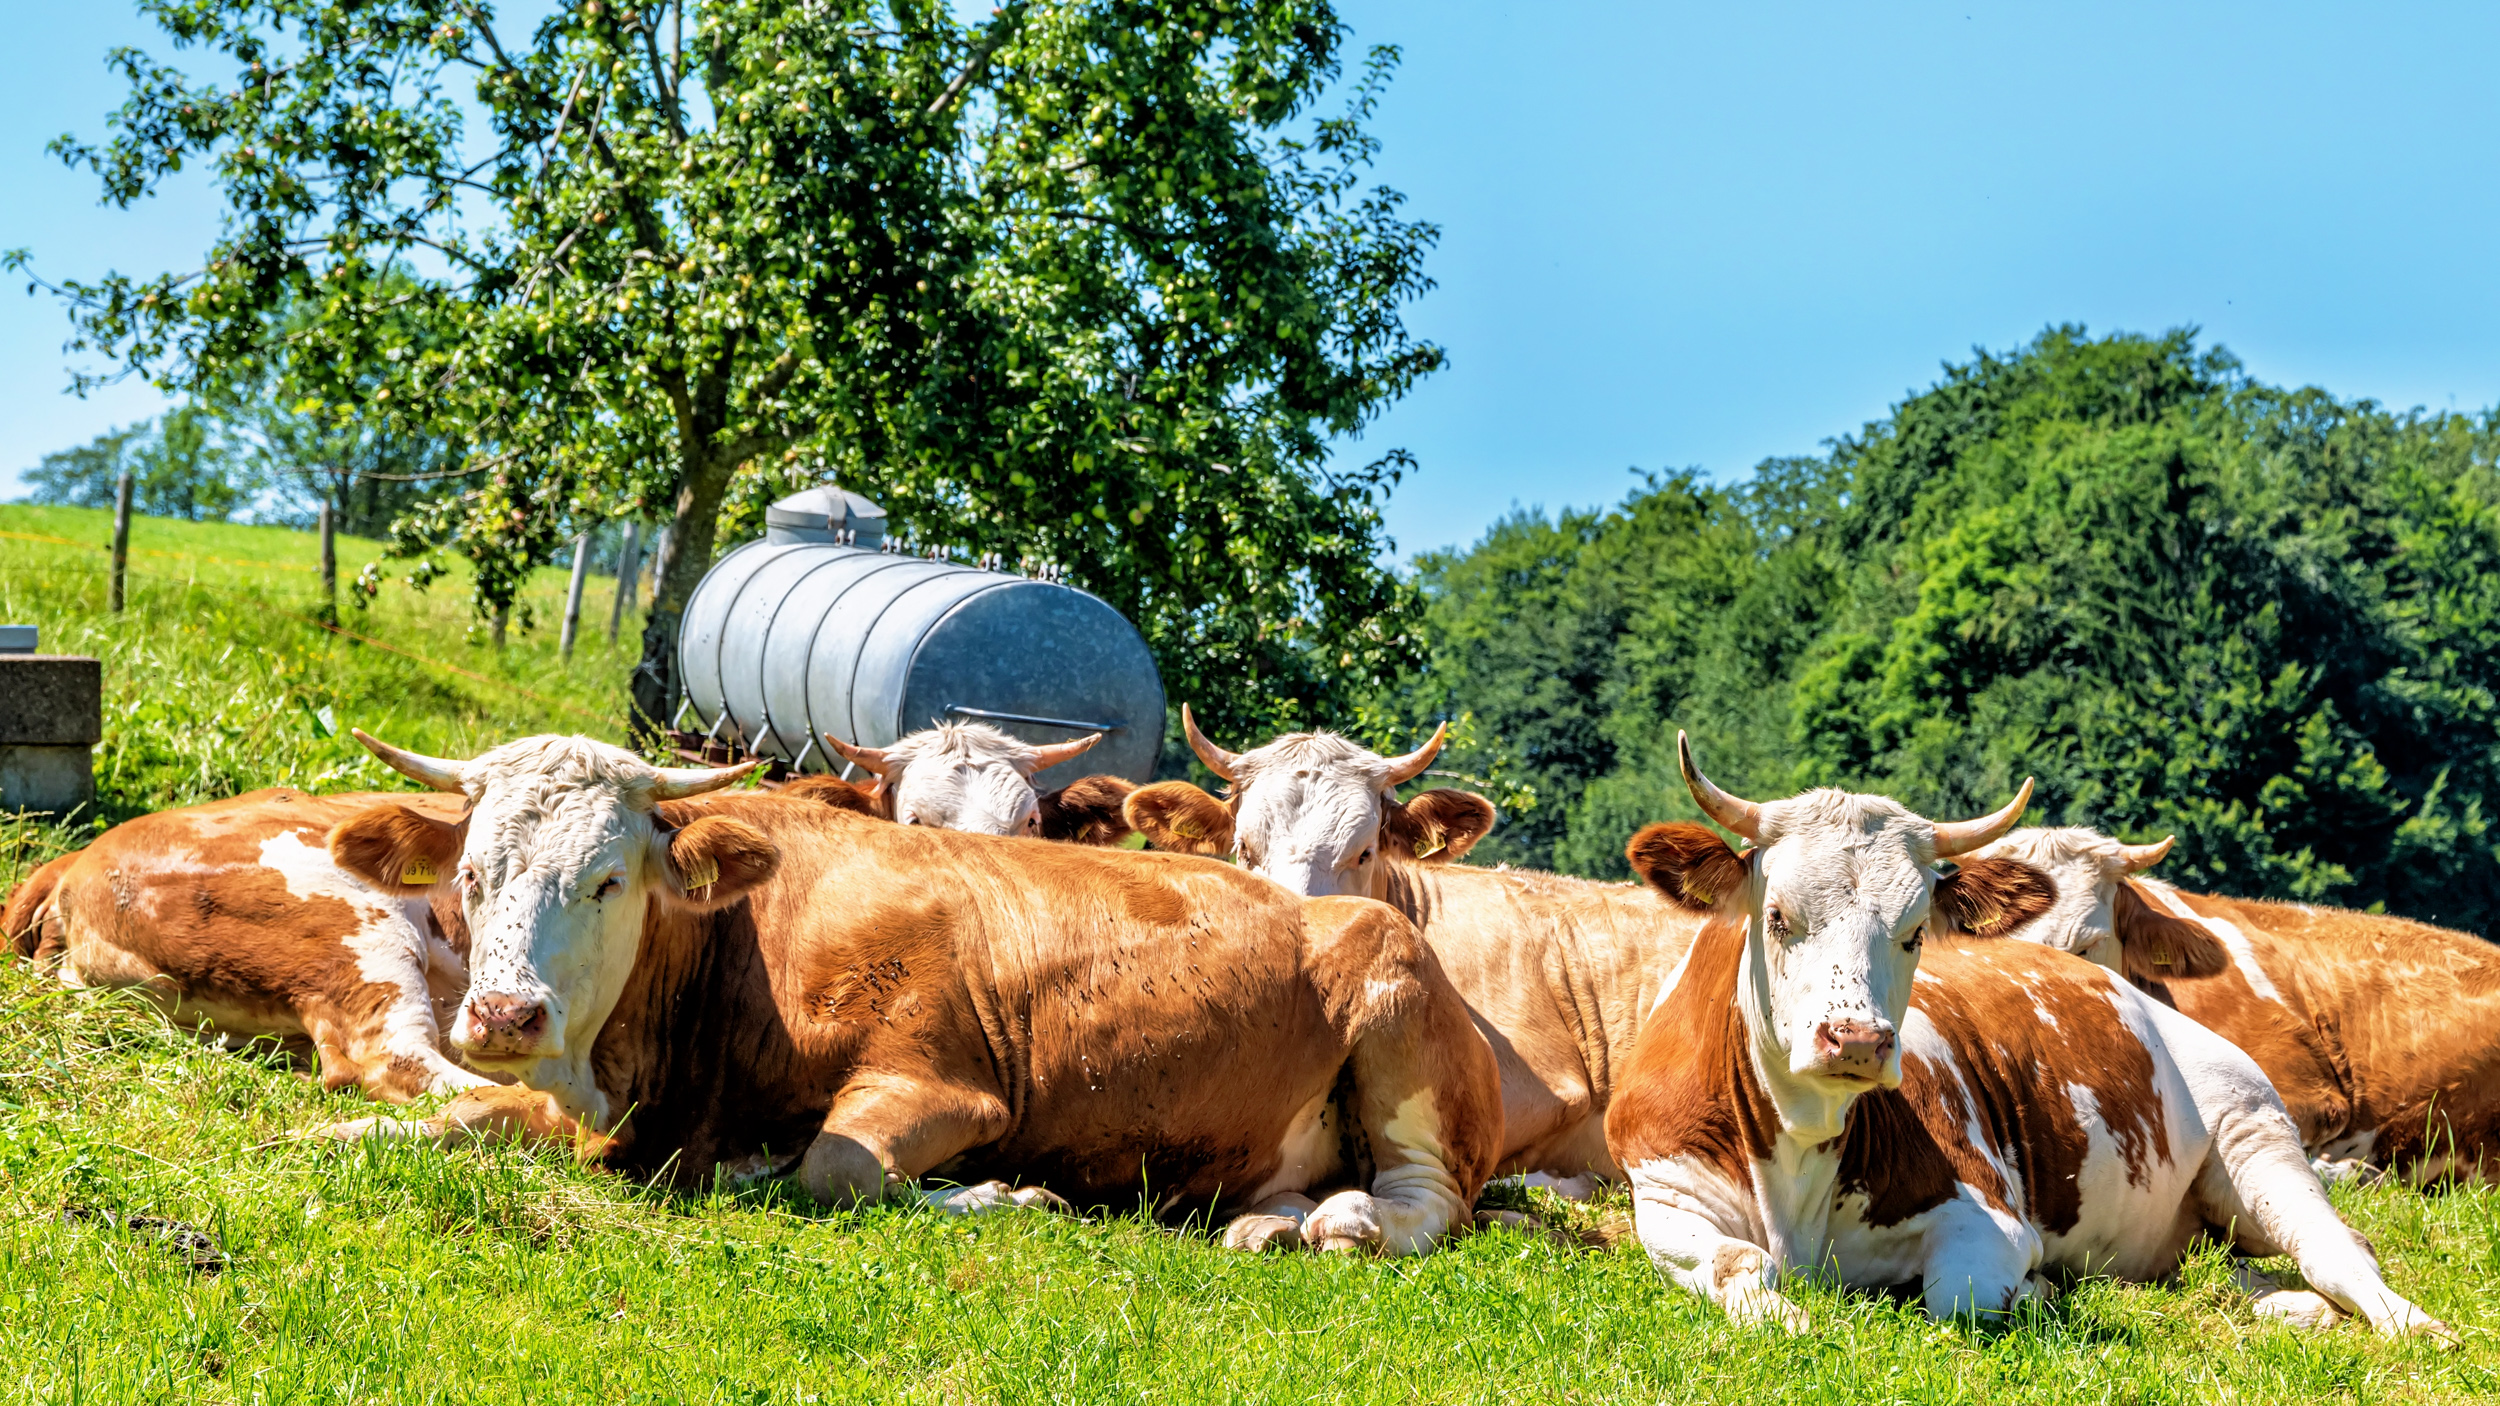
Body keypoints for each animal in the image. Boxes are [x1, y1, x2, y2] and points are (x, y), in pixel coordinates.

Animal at [319, 730, 1504, 1254]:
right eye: (474, 873)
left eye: (609, 877)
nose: (503, 1014)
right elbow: (445, 1115)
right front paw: (339, 1133)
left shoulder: (942, 1081)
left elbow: (834, 1167)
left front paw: (1002, 1195)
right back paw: (1269, 1222)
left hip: (1401, 1026)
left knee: (1427, 1196)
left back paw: (1350, 1219)